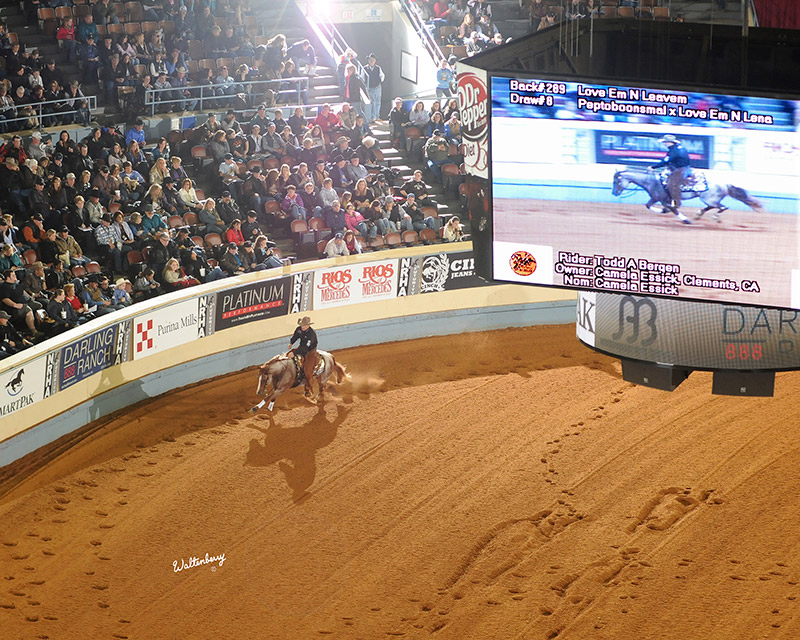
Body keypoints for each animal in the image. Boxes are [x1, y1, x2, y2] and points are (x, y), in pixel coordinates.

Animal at [611, 168, 762, 223]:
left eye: (616, 181)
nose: (614, 193)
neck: (652, 181)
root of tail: (726, 184)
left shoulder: (665, 199)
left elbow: (673, 209)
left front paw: (685, 219)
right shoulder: (655, 198)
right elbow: (648, 205)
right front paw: (663, 211)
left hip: (708, 198)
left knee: (722, 207)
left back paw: (714, 217)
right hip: (709, 199)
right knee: (713, 207)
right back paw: (699, 214)